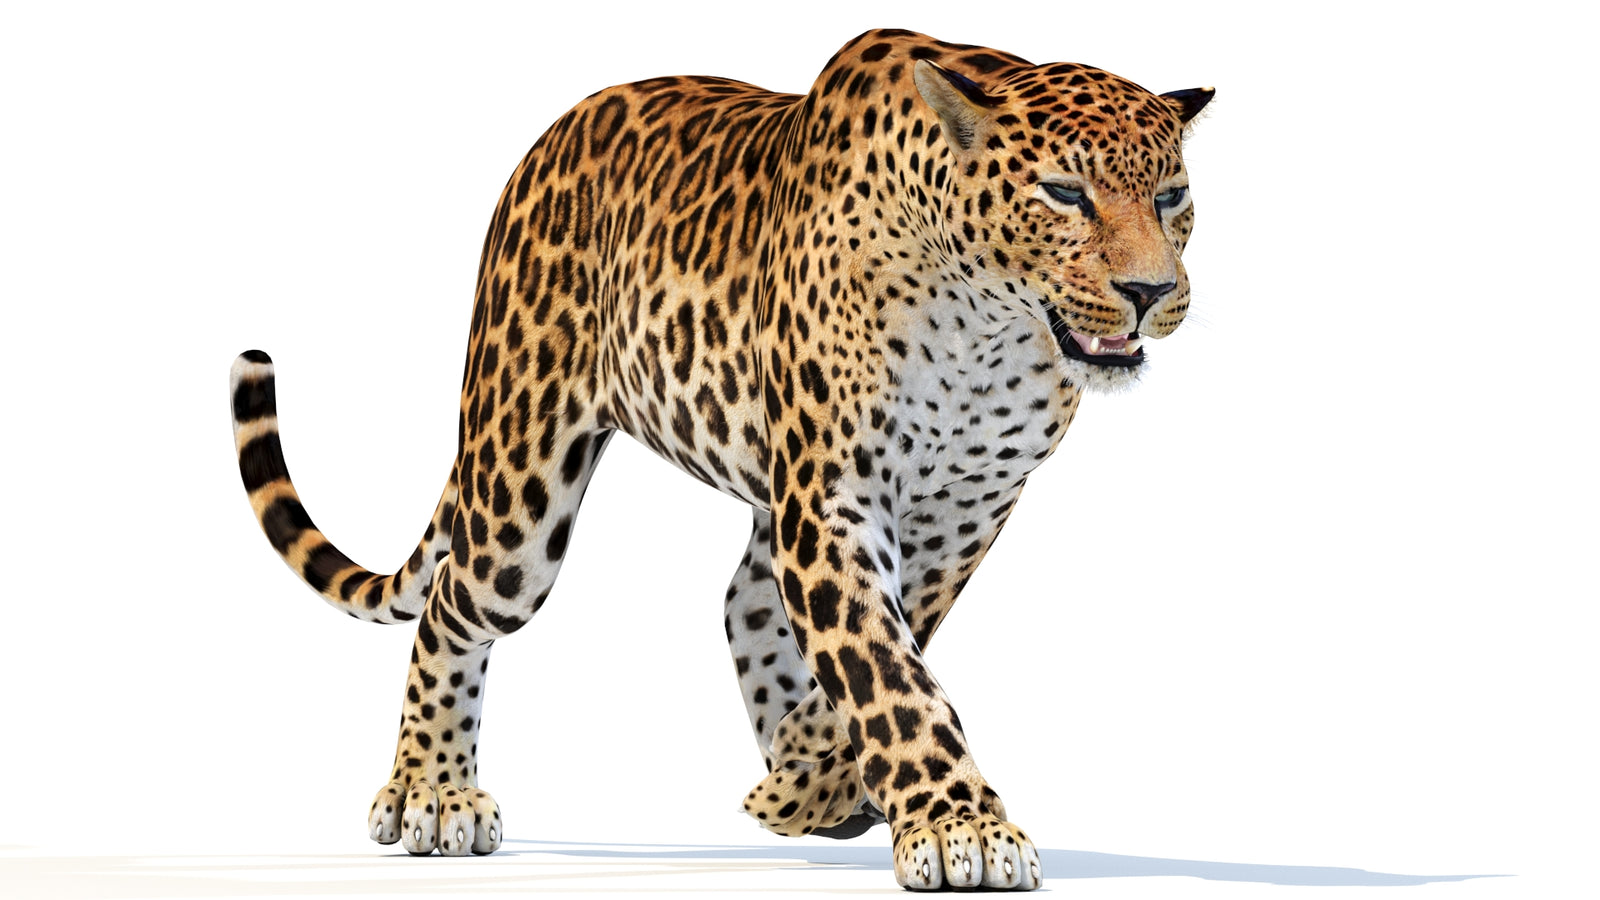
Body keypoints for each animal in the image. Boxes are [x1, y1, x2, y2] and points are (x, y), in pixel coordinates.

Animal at [229, 28, 1212, 890]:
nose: (1150, 290)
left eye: (1171, 198)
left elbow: (887, 649)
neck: (990, 328)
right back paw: (433, 790)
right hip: (520, 492)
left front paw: (815, 775)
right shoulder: (834, 496)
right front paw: (958, 825)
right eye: (1063, 193)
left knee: (743, 597)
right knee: (450, 603)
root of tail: (547, 141)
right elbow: (887, 669)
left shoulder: (965, 510)